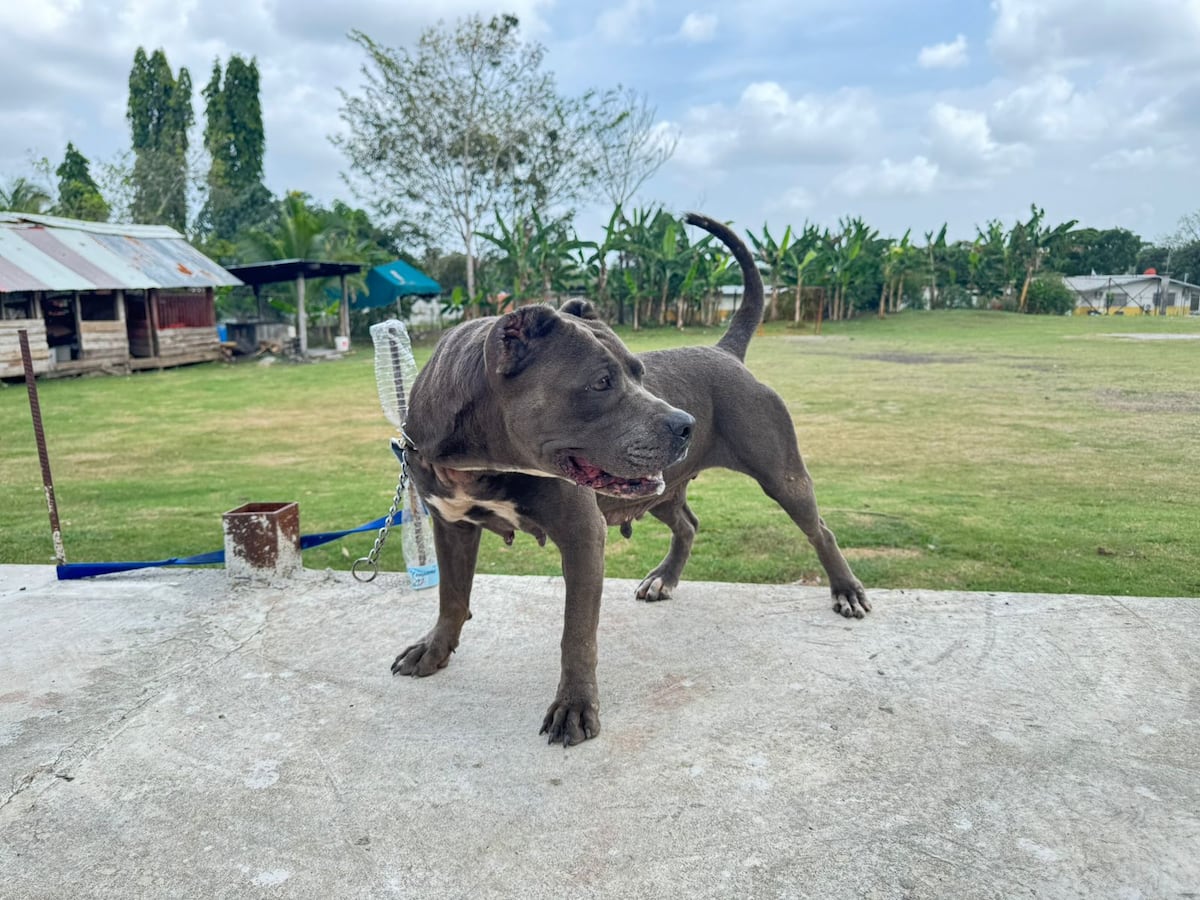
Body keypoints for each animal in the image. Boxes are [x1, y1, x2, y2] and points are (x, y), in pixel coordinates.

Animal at [393, 211, 873, 748]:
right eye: (602, 382)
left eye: (640, 372)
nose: (685, 424)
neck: (480, 462)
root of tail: (725, 352)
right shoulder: (451, 524)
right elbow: (452, 596)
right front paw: (435, 650)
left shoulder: (582, 537)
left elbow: (576, 633)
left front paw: (574, 706)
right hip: (662, 489)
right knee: (687, 524)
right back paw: (664, 579)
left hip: (781, 474)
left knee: (819, 529)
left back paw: (846, 591)